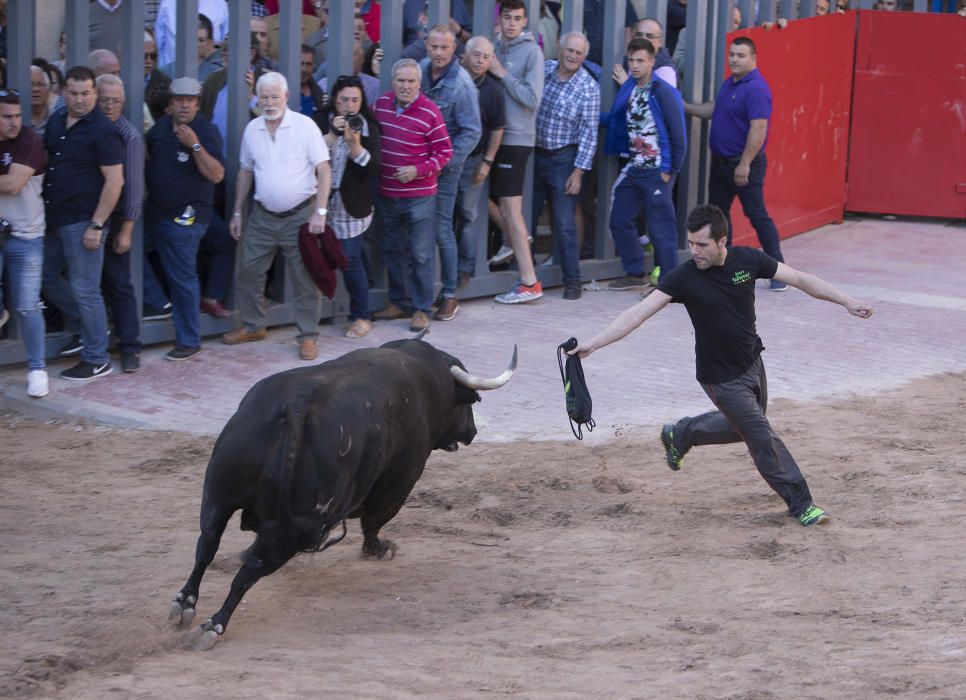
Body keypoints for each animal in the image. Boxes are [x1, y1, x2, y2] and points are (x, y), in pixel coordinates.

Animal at [170, 336, 520, 648]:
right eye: (466, 406)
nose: (472, 432)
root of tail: (296, 405)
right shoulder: (398, 485)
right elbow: (374, 522)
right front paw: (379, 549)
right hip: (290, 530)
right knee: (248, 573)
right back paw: (213, 625)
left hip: (218, 495)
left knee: (207, 544)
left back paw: (185, 603)